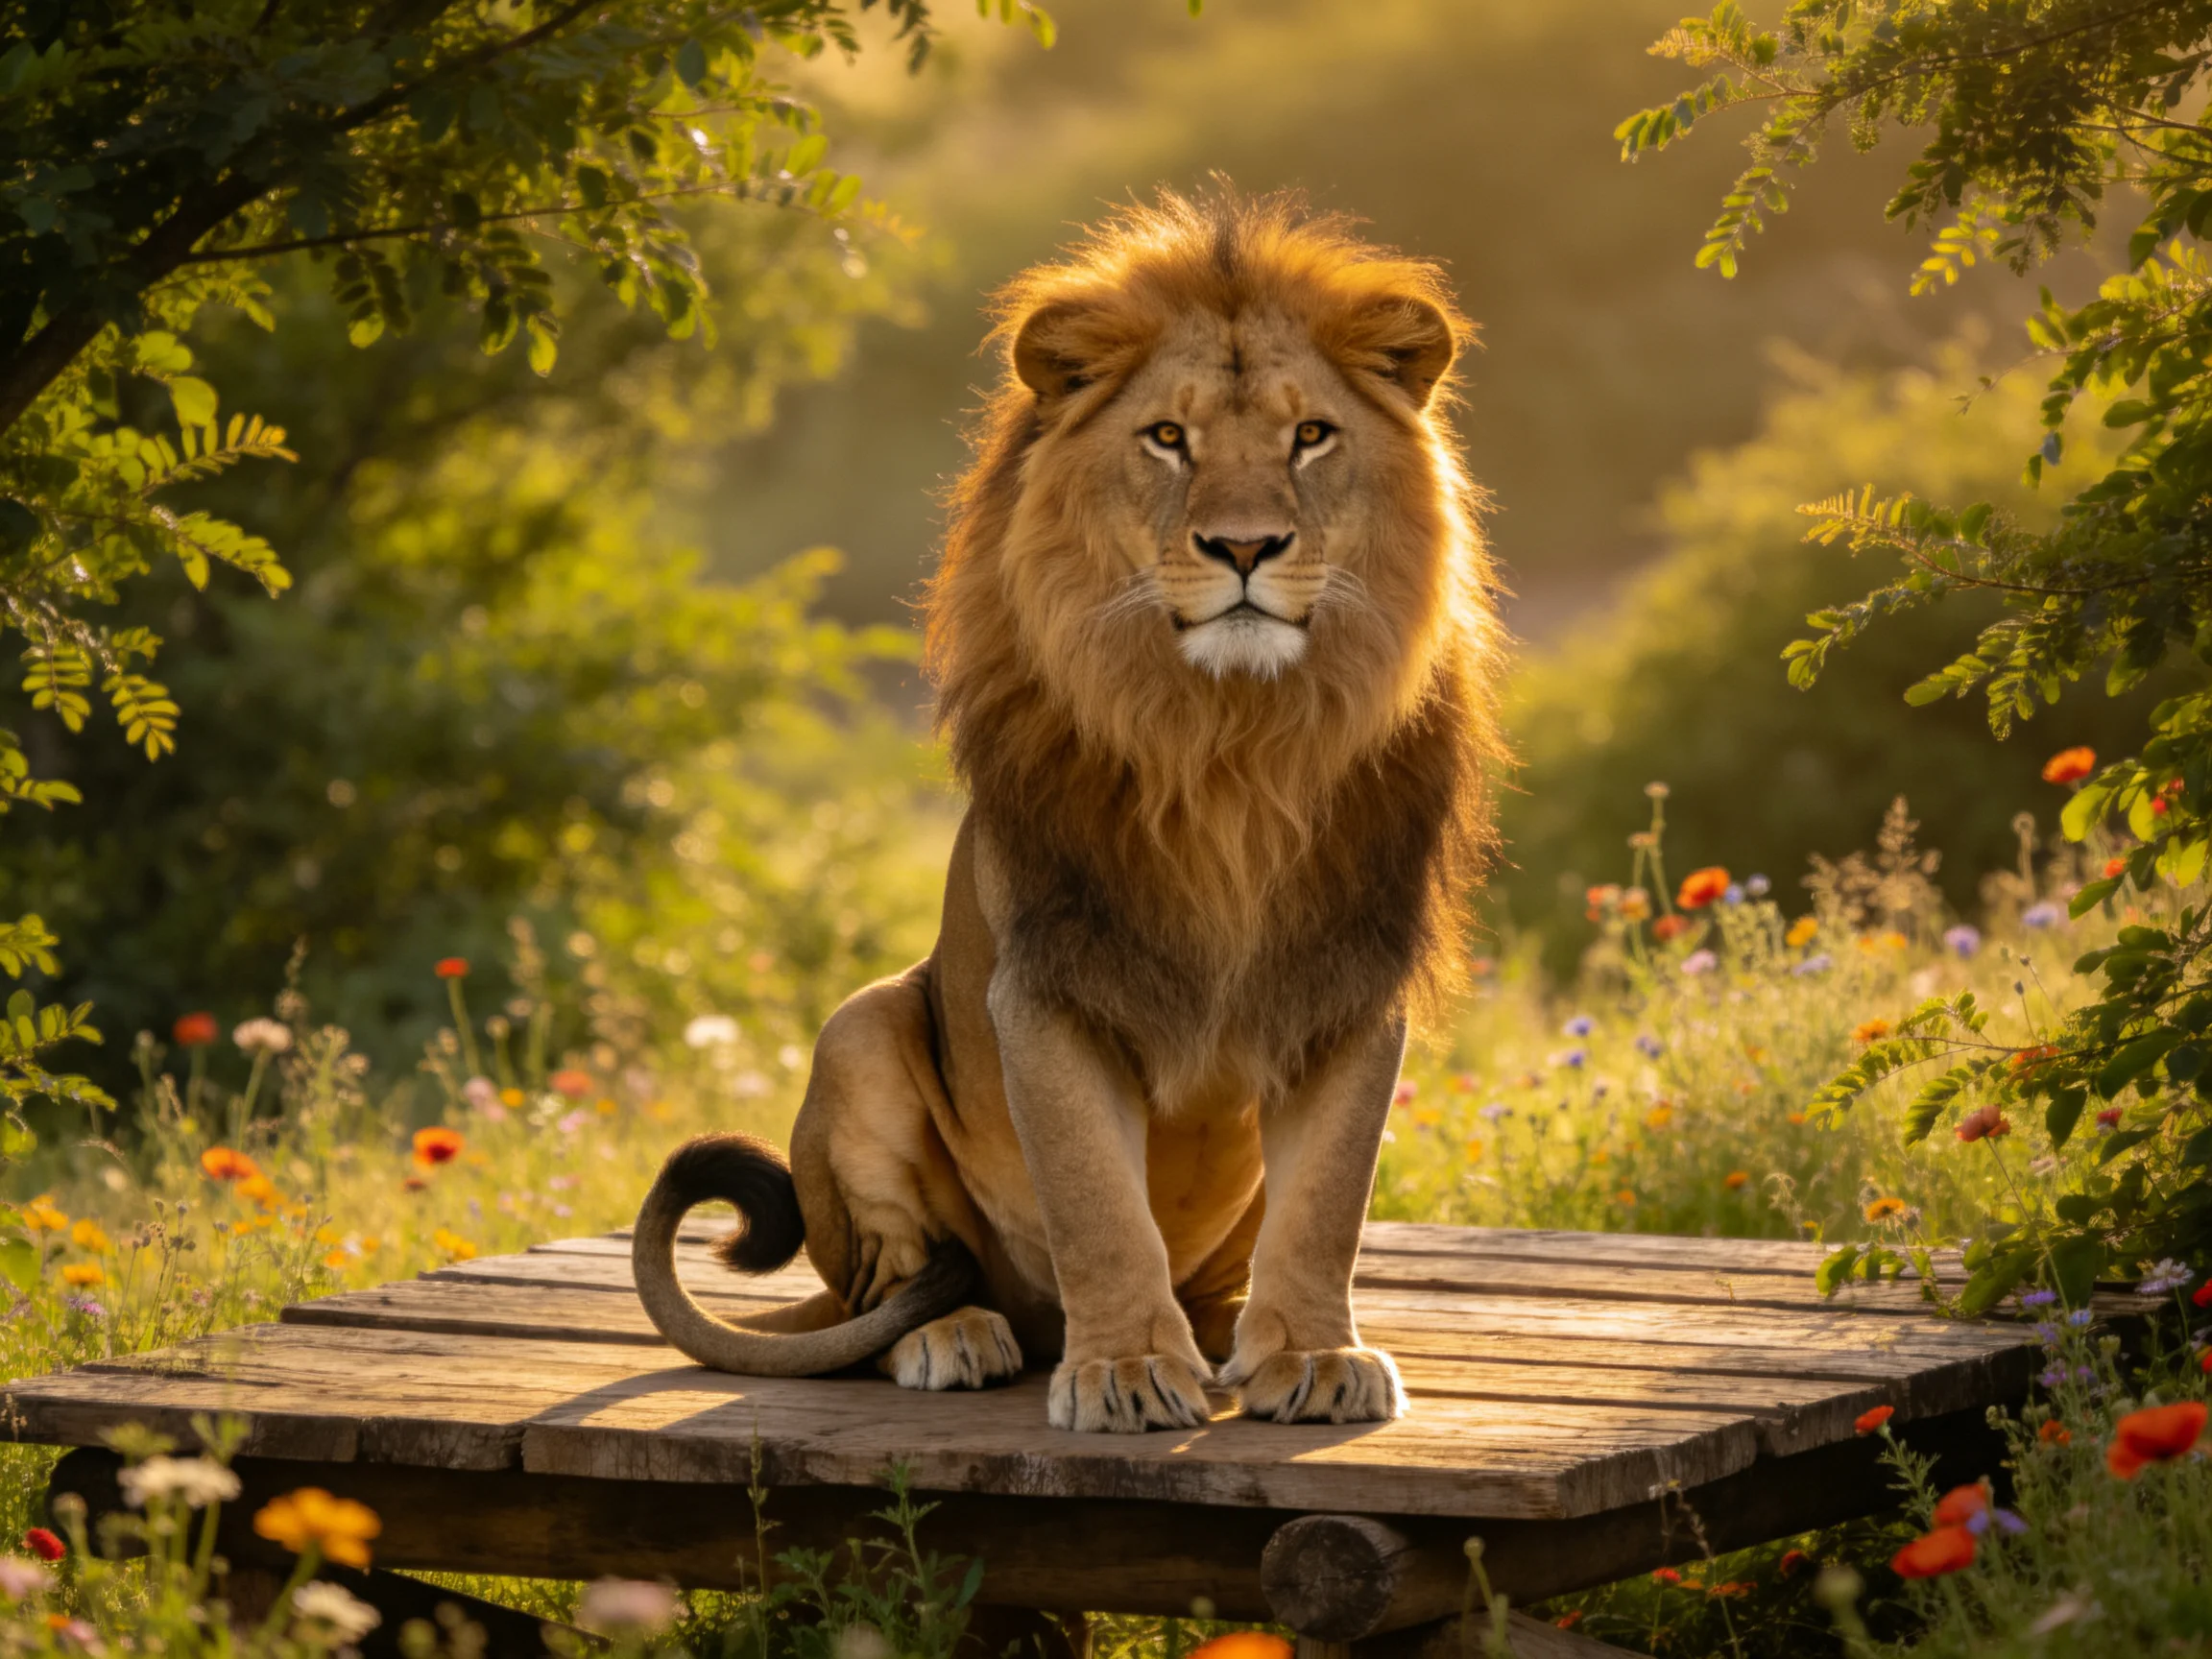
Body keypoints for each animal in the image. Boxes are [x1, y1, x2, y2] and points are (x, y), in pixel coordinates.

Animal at [632, 186, 1503, 1433]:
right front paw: (1129, 1369)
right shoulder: (1046, 985)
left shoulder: (1348, 974)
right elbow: (1097, 1203)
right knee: (882, 1293)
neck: (1231, 745)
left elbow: (1329, 1200)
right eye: (1169, 438)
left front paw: (1313, 1355)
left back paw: (1226, 1330)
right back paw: (954, 1333)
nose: (1245, 546)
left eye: (1311, 436)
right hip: (863, 1028)